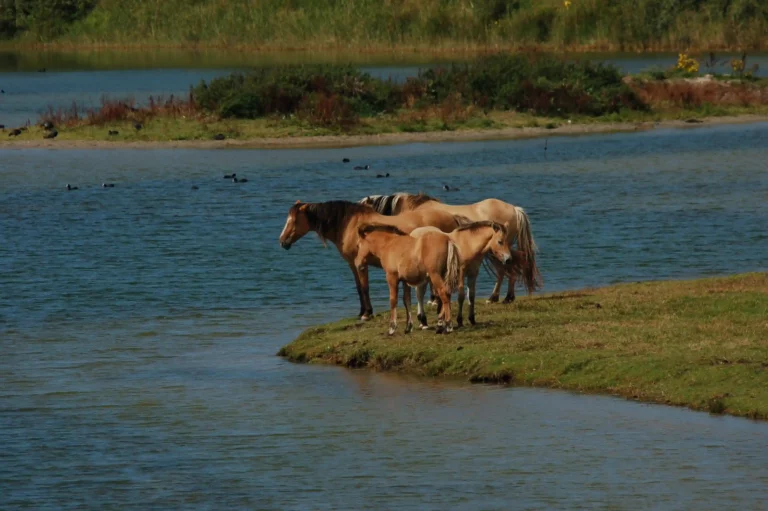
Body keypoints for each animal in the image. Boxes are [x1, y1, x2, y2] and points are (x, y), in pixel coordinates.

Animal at [278, 200, 465, 320]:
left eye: (293, 220)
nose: (282, 241)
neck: (349, 226)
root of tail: (452, 217)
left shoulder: (361, 264)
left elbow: (365, 287)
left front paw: (367, 313)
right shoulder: (352, 264)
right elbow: (359, 288)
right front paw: (361, 312)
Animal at [359, 192, 540, 303]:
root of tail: (514, 209)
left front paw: (433, 299)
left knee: (508, 268)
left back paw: (499, 297)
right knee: (510, 267)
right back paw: (504, 297)